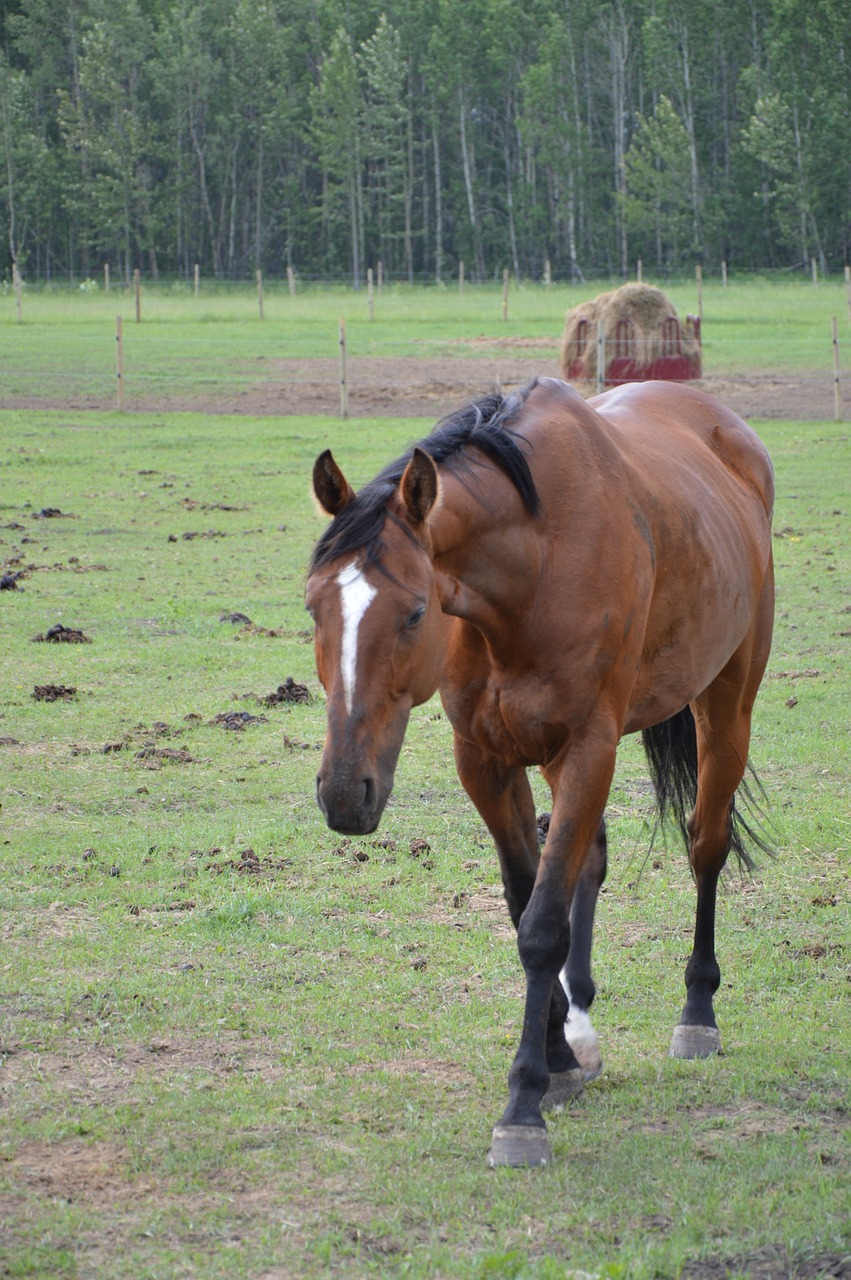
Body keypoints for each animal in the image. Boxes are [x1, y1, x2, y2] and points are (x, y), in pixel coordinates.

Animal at [303, 373, 767, 1167]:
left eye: (414, 614)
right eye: (313, 610)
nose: (343, 794)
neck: (531, 571)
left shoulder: (587, 747)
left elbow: (542, 925)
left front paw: (523, 1102)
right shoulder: (486, 759)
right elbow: (527, 899)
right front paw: (558, 1056)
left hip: (725, 703)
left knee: (705, 843)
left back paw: (697, 1010)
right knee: (591, 859)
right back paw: (581, 1024)